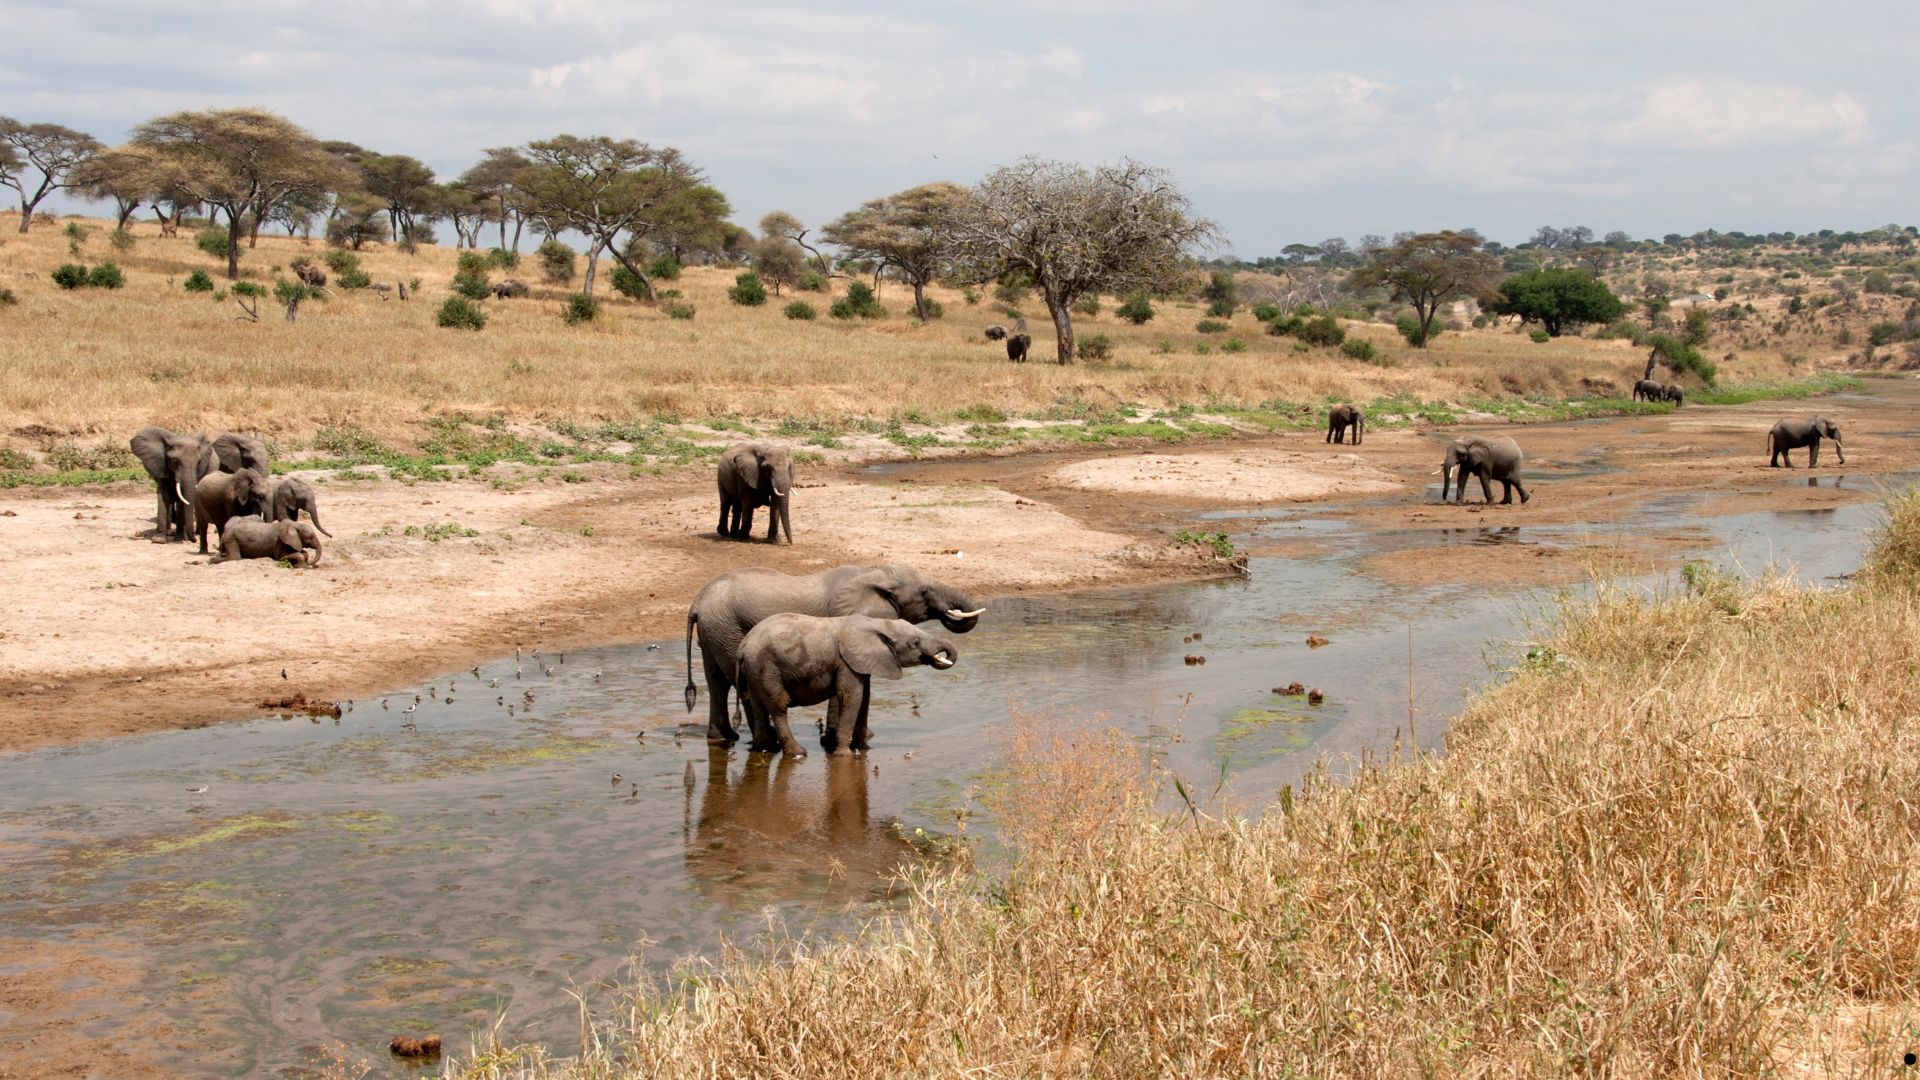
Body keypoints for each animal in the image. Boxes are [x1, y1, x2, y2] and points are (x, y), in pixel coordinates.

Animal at [729, 614, 956, 757]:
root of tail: (742, 647)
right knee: (778, 706)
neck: (879, 623)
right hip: (768, 667)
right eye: (914, 643)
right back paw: (798, 753)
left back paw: (765, 749)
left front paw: (864, 749)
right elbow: (852, 696)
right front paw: (845, 755)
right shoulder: (846, 662)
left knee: (757, 705)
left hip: (756, 670)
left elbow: (865, 697)